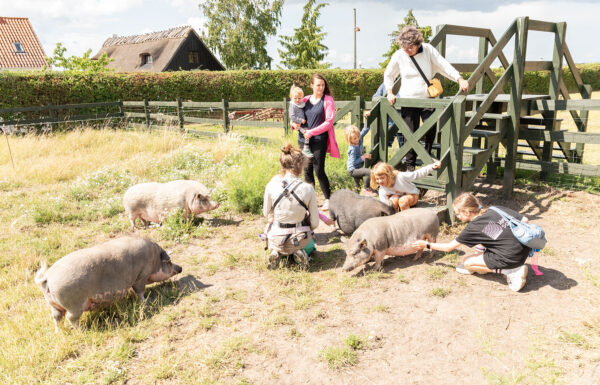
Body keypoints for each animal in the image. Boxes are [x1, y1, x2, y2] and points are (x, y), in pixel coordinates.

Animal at [34, 234, 180, 330]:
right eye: (169, 262)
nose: (180, 268)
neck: (154, 259)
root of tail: (48, 277)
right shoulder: (141, 276)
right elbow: (140, 291)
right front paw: (145, 301)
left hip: (54, 305)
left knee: (57, 318)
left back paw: (59, 332)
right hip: (74, 304)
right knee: (71, 318)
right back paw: (83, 330)